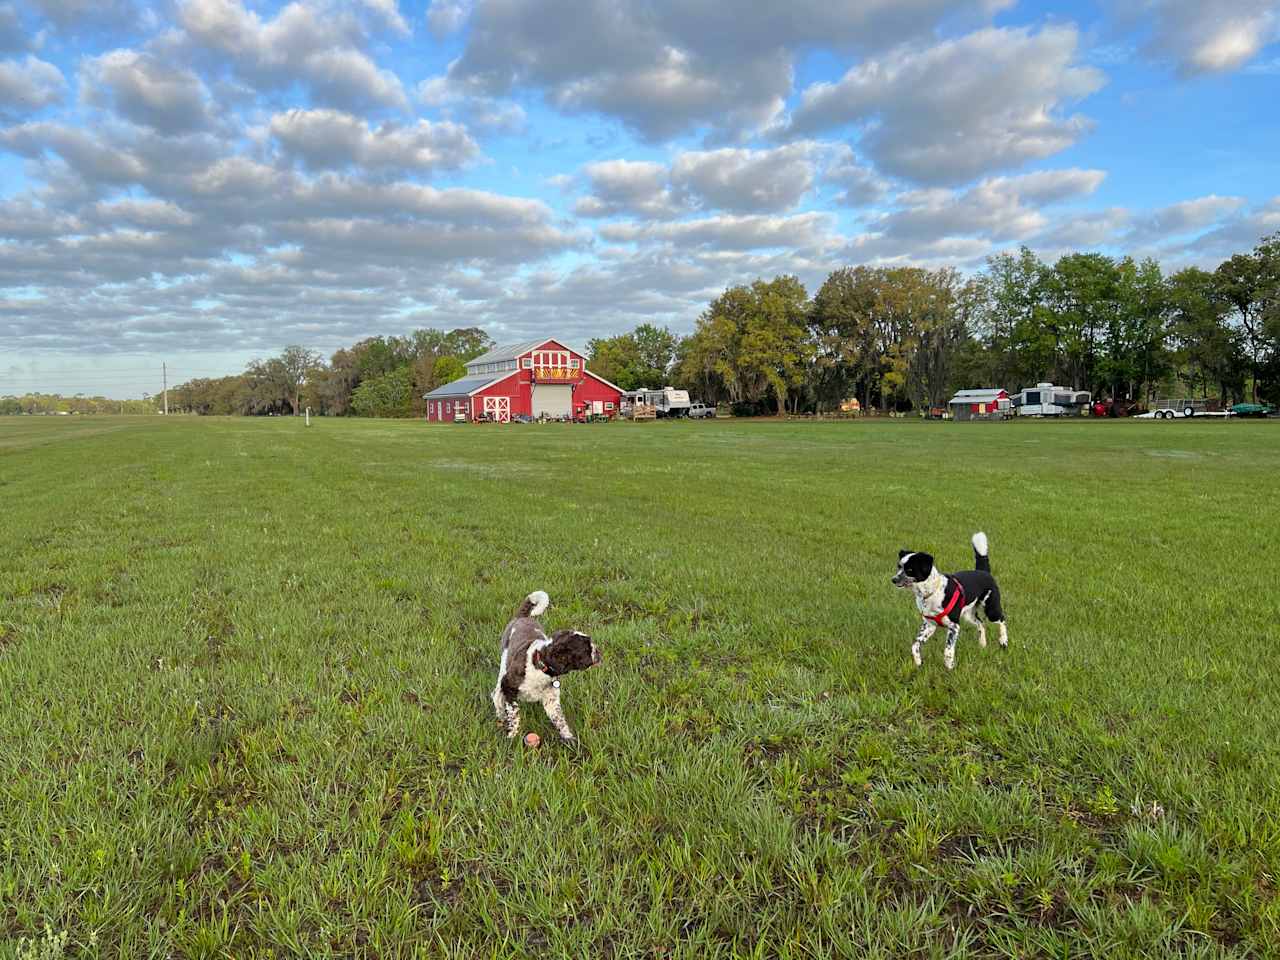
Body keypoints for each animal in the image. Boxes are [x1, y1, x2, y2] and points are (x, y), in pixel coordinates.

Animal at [494, 593, 604, 742]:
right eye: (586, 649)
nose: (598, 651)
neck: (540, 667)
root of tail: (522, 617)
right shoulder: (508, 686)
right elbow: (514, 712)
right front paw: (512, 735)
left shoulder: (551, 699)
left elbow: (559, 719)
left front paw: (569, 738)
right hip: (504, 662)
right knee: (497, 693)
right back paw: (499, 710)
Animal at [896, 535, 1003, 670]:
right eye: (899, 567)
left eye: (909, 569)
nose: (893, 580)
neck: (932, 591)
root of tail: (984, 572)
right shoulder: (929, 625)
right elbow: (915, 645)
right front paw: (918, 662)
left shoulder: (954, 627)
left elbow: (948, 650)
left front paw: (949, 666)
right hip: (969, 615)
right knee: (981, 623)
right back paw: (982, 644)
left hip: (991, 609)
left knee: (1002, 619)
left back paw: (1004, 641)